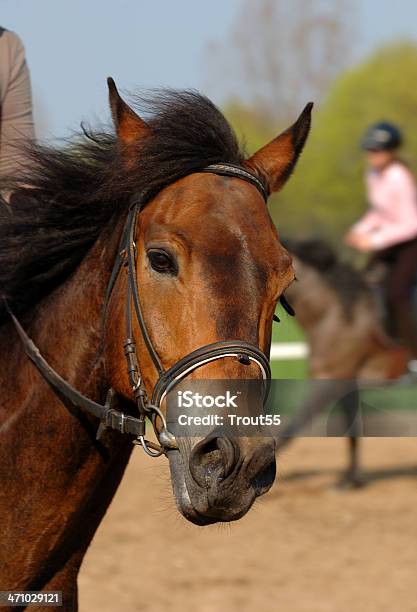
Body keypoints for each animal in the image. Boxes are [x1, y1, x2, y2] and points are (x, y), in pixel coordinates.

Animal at [274, 239, 408, 488]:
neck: (334, 313)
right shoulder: (346, 380)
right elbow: (353, 427)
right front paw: (351, 480)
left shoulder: (328, 379)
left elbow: (291, 428)